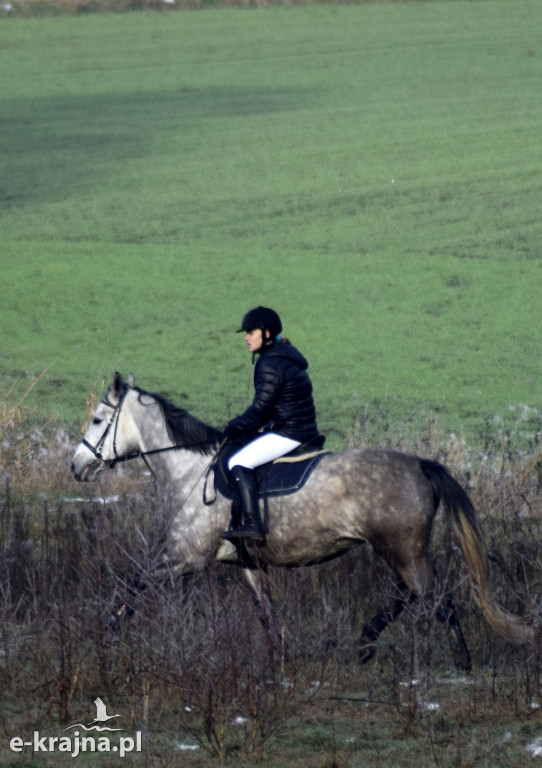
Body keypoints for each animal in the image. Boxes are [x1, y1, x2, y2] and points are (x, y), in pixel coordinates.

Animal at [70, 372, 536, 664]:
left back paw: (461, 662)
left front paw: (105, 638)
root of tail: (420, 464)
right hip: (399, 550)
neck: (190, 469)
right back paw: (365, 645)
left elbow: (133, 588)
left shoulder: (182, 559)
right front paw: (278, 662)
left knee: (436, 599)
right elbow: (266, 613)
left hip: (402, 548)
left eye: (97, 419)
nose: (77, 466)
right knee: (410, 595)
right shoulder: (246, 564)